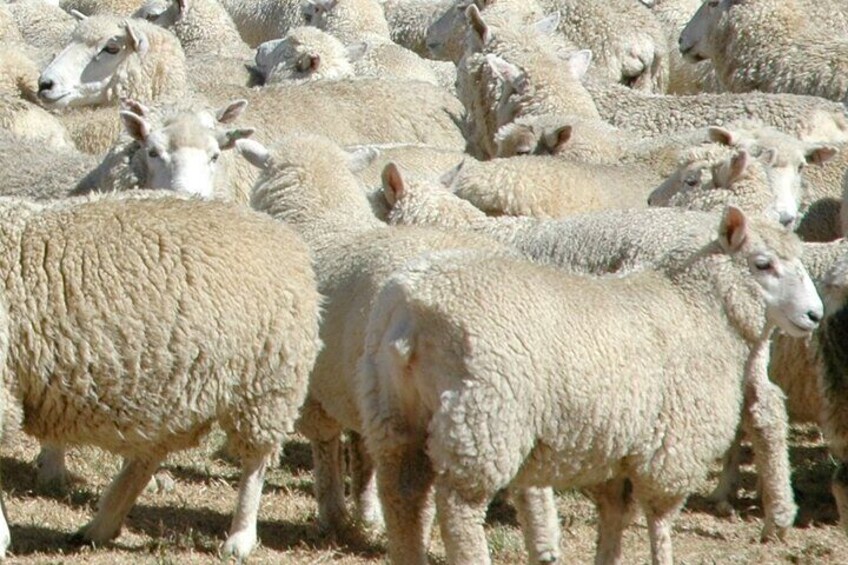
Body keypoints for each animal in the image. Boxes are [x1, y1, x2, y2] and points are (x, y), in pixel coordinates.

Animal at [0, 192, 322, 560]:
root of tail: (288, 239)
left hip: (265, 383)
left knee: (255, 461)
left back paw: (239, 539)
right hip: (171, 390)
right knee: (149, 455)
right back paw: (100, 526)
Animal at [358, 204, 821, 564]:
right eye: (763, 264)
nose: (815, 315)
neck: (698, 306)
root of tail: (409, 311)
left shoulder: (616, 447)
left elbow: (614, 515)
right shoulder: (669, 449)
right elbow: (659, 521)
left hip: (393, 417)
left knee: (402, 497)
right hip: (483, 421)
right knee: (459, 511)